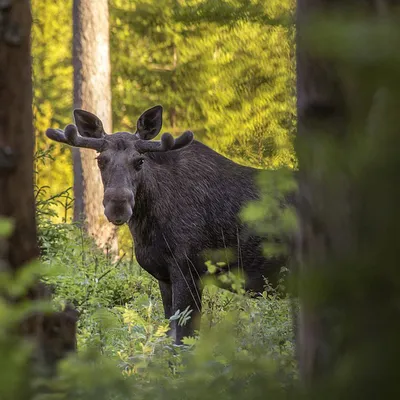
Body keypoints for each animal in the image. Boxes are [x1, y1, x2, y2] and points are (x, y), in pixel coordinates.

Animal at [46, 106, 290, 344]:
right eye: (100, 160)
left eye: (140, 161)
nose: (117, 206)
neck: (147, 228)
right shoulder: (164, 276)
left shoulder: (190, 269)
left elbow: (182, 339)